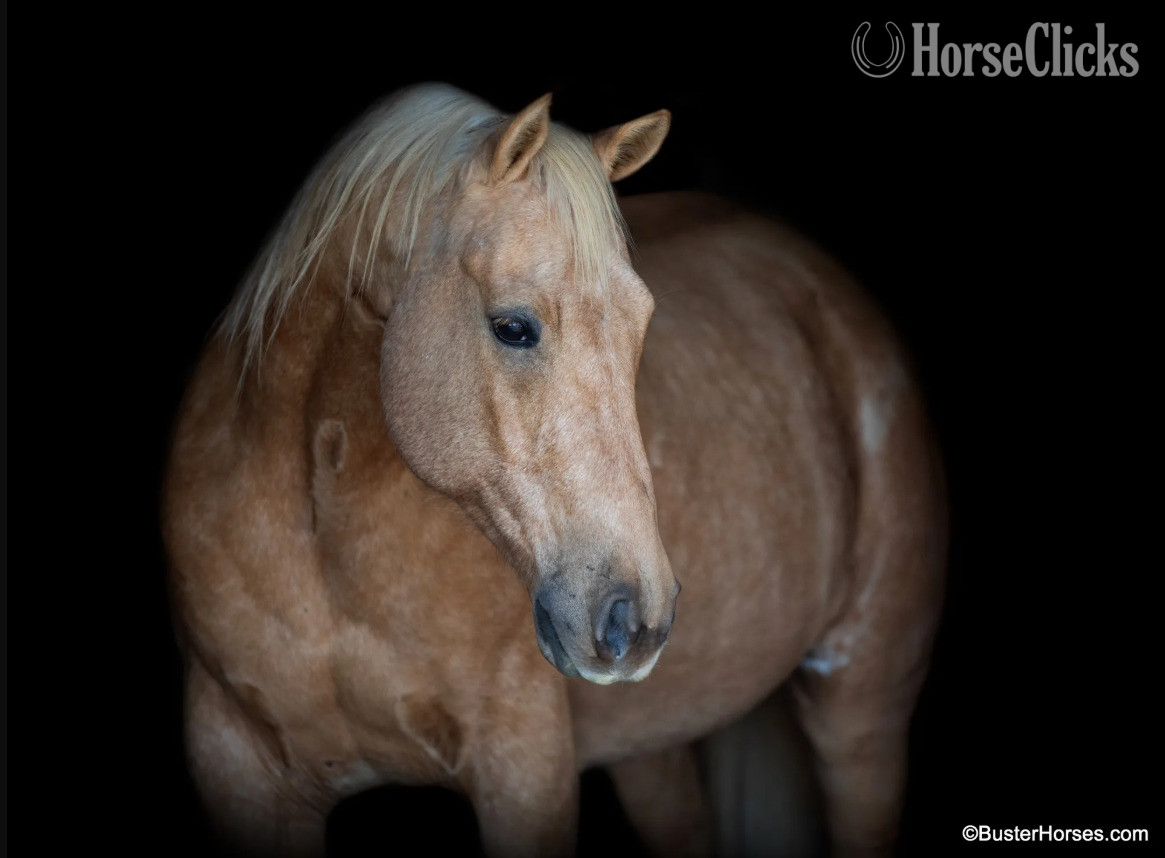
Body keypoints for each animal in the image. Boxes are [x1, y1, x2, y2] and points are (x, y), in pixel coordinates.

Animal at [163, 83, 946, 857]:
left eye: (641, 324)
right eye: (513, 327)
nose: (638, 616)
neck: (323, 549)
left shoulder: (523, 766)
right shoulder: (238, 767)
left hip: (861, 716)